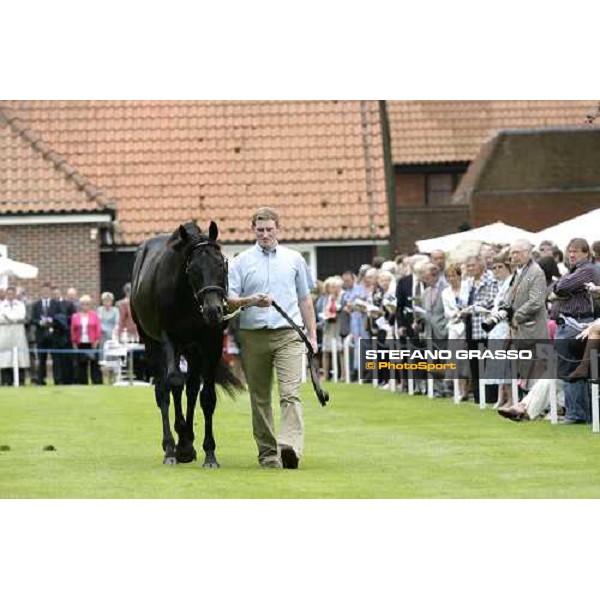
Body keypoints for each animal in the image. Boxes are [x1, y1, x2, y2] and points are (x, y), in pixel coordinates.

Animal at [131, 220, 241, 468]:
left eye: (221, 265)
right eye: (193, 270)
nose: (213, 311)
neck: (188, 299)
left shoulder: (211, 344)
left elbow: (206, 396)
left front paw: (208, 453)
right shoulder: (169, 339)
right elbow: (173, 382)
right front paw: (179, 445)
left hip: (192, 350)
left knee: (191, 388)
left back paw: (188, 442)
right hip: (151, 343)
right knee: (163, 390)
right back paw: (172, 446)